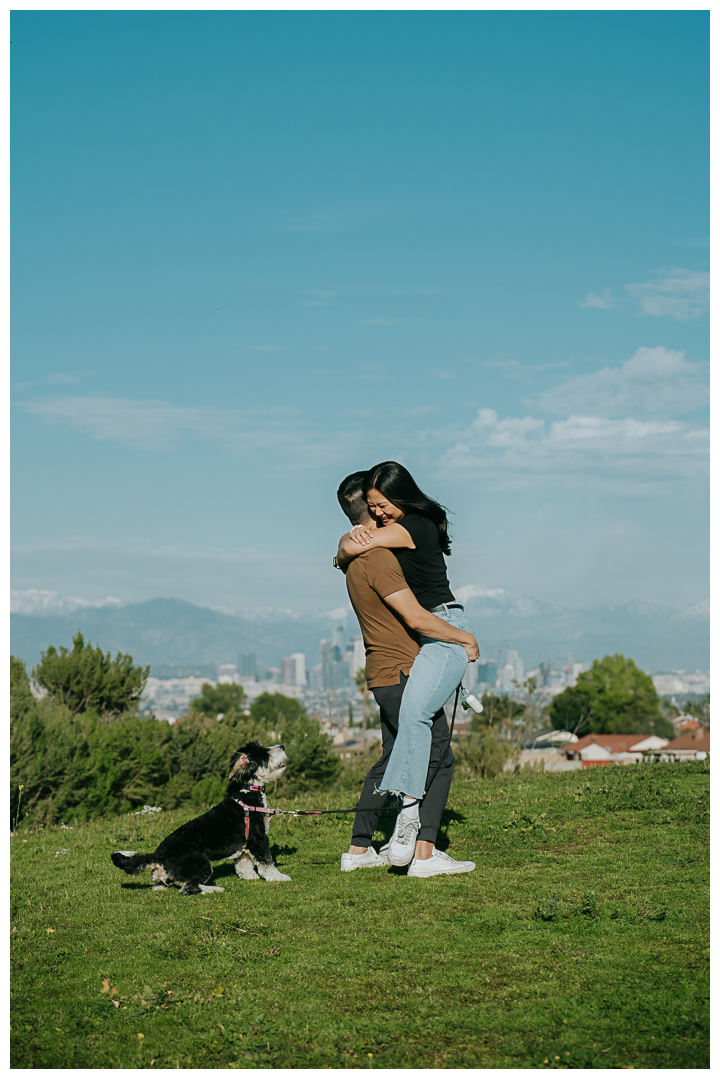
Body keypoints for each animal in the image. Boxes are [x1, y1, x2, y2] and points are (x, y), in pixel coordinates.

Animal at [110, 743, 289, 894]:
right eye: (265, 753)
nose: (282, 746)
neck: (246, 794)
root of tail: (157, 857)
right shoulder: (257, 839)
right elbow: (267, 863)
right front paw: (280, 877)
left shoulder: (244, 844)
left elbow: (243, 864)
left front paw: (250, 877)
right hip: (201, 862)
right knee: (188, 888)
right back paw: (214, 889)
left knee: (162, 885)